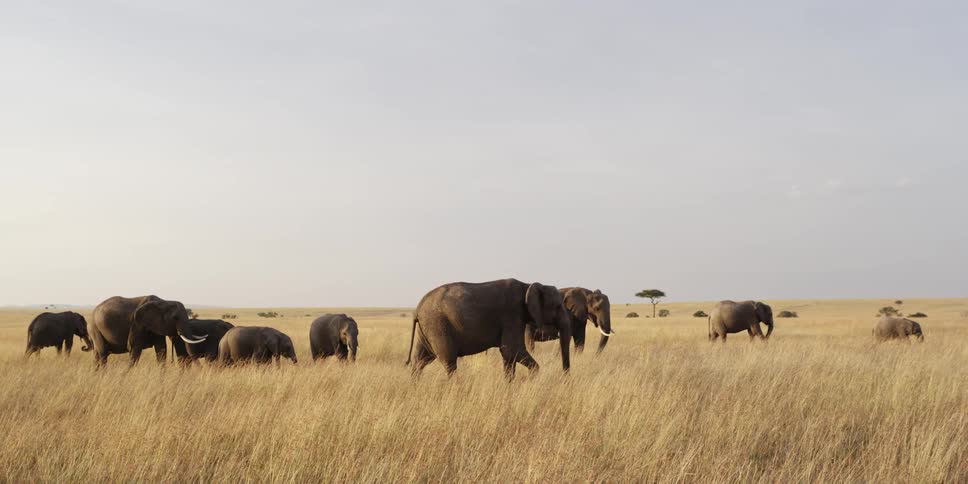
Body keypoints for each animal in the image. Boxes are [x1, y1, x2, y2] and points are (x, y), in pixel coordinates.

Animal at [406, 278, 572, 378]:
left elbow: (508, 355)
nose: (565, 379)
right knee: (449, 362)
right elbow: (512, 350)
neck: (528, 285)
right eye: (557, 306)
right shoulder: (512, 314)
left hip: (427, 328)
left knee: (420, 360)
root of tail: (417, 309)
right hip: (438, 326)